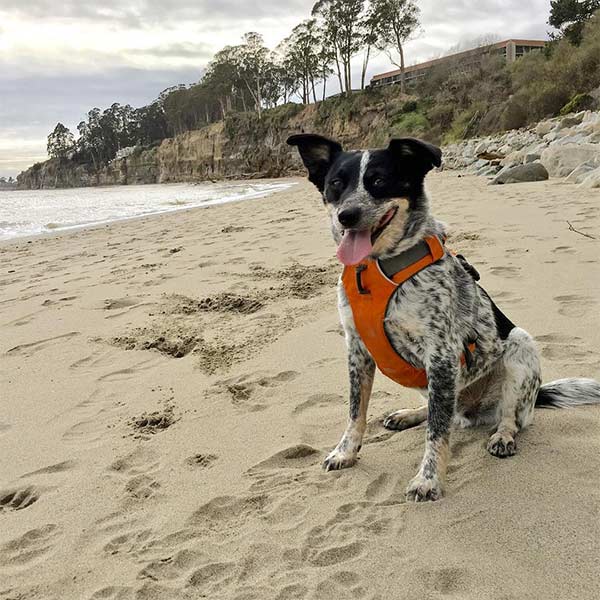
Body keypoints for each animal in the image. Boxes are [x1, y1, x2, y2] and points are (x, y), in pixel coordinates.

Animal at [286, 135, 600, 502]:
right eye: (336, 184)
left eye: (379, 180)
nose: (347, 215)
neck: (377, 270)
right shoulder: (357, 349)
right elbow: (355, 411)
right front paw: (345, 452)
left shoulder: (441, 354)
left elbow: (437, 432)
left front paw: (429, 479)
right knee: (441, 408)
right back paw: (409, 414)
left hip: (520, 348)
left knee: (506, 416)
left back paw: (503, 435)